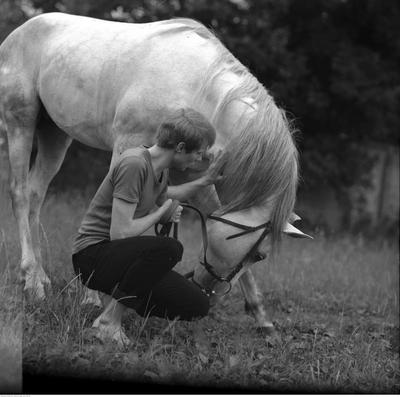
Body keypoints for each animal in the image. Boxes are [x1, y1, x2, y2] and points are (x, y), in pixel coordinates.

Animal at [0, 13, 310, 334]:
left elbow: (210, 212)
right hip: (21, 121)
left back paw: (38, 275)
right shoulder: (126, 147)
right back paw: (32, 281)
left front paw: (262, 318)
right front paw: (92, 298)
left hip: (56, 135)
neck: (198, 89)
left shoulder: (194, 175)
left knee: (36, 194)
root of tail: (20, 31)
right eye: (260, 255)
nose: (209, 293)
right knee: (20, 193)